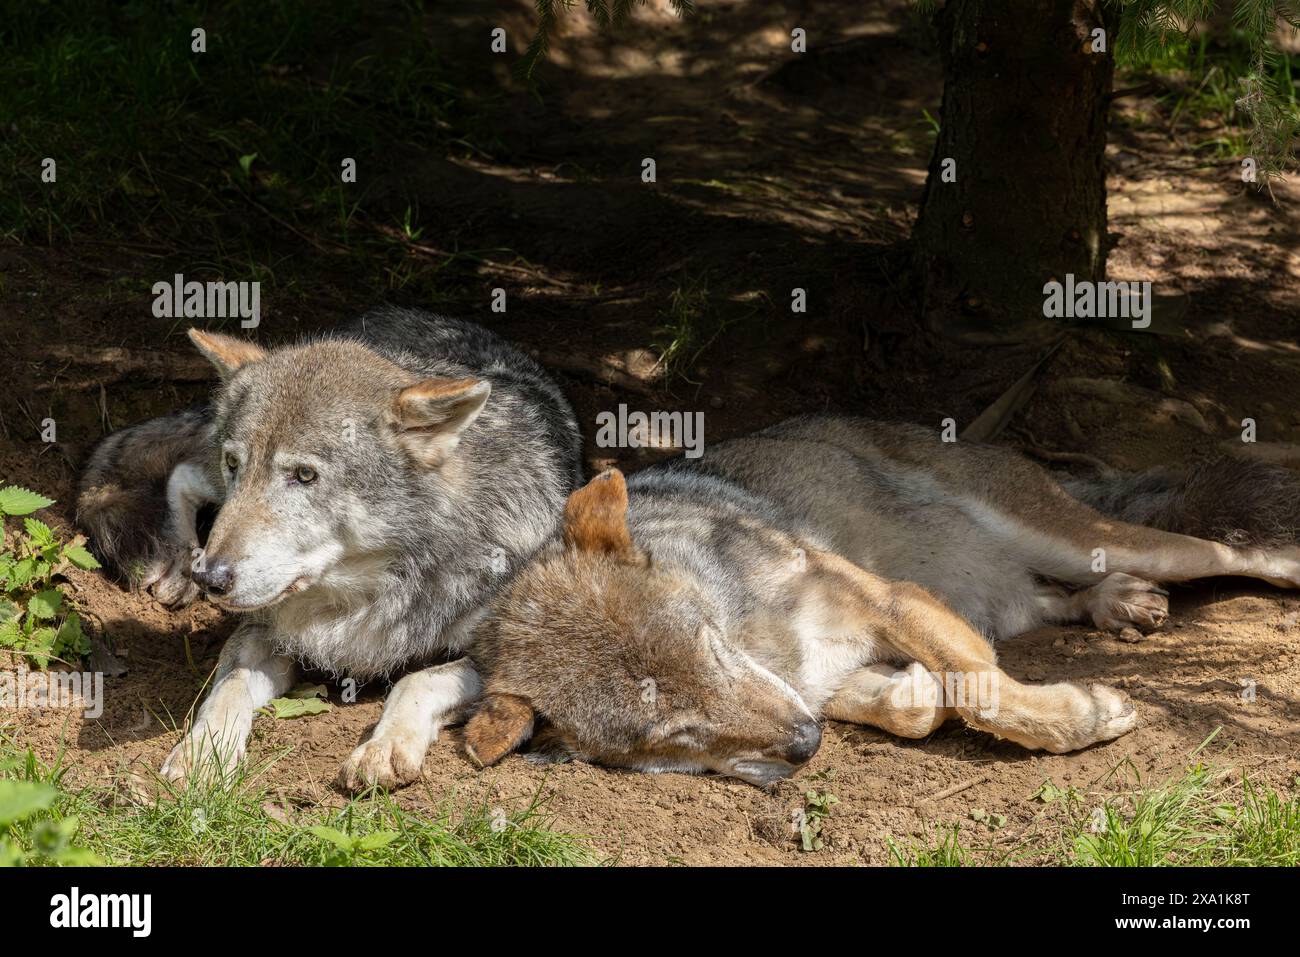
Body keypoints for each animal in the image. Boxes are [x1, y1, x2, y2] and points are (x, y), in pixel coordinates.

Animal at [77, 307, 581, 788]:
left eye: (304, 475)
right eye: (236, 463)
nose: (211, 578)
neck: (364, 595)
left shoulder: (507, 659)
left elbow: (417, 680)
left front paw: (383, 750)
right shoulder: (261, 630)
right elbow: (228, 688)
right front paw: (203, 752)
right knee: (181, 471)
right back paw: (177, 562)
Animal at [457, 416, 1300, 787]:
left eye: (711, 646)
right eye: (676, 730)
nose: (804, 744)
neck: (768, 644)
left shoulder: (890, 599)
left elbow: (986, 694)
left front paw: (1084, 716)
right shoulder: (832, 673)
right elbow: (918, 705)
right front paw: (914, 695)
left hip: (1088, 536)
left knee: (1225, 552)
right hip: (1023, 586)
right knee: (1053, 599)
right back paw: (1115, 602)